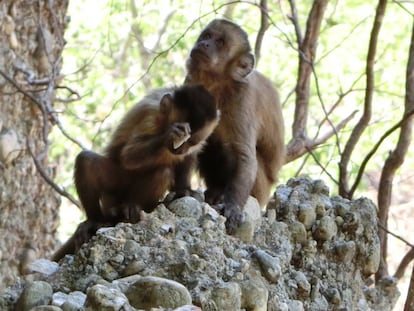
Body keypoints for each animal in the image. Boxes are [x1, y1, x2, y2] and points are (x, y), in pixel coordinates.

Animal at [52, 84, 220, 260]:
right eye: (181, 136)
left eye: (191, 141)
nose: (179, 149)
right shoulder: (150, 115)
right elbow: (128, 156)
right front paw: (169, 134)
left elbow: (188, 157)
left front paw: (184, 190)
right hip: (114, 191)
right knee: (86, 161)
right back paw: (96, 221)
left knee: (162, 173)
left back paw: (133, 207)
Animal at [183, 18, 286, 234]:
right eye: (207, 36)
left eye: (220, 42)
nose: (204, 44)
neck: (218, 85)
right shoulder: (191, 84)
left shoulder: (242, 98)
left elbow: (244, 156)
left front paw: (233, 207)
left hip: (261, 190)